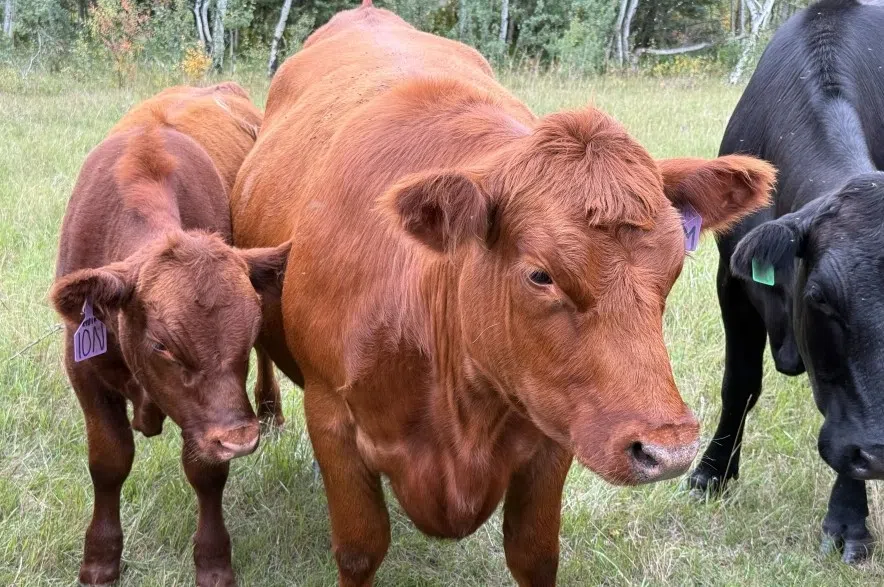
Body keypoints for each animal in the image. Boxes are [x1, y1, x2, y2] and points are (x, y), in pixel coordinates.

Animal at [51, 84, 290, 587]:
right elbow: (109, 461)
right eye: (161, 344)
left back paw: (270, 409)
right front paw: (100, 559)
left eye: (246, 332)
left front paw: (214, 563)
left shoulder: (210, 415)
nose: (240, 439)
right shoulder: (83, 369)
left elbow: (206, 472)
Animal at [231, 2, 775, 584]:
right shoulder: (332, 418)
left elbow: (535, 552)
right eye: (540, 275)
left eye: (673, 266)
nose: (668, 451)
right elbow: (359, 548)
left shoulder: (555, 431)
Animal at [687, 0, 884, 564]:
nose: (880, 451)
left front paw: (848, 522)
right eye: (819, 299)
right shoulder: (731, 281)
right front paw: (712, 474)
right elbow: (739, 383)